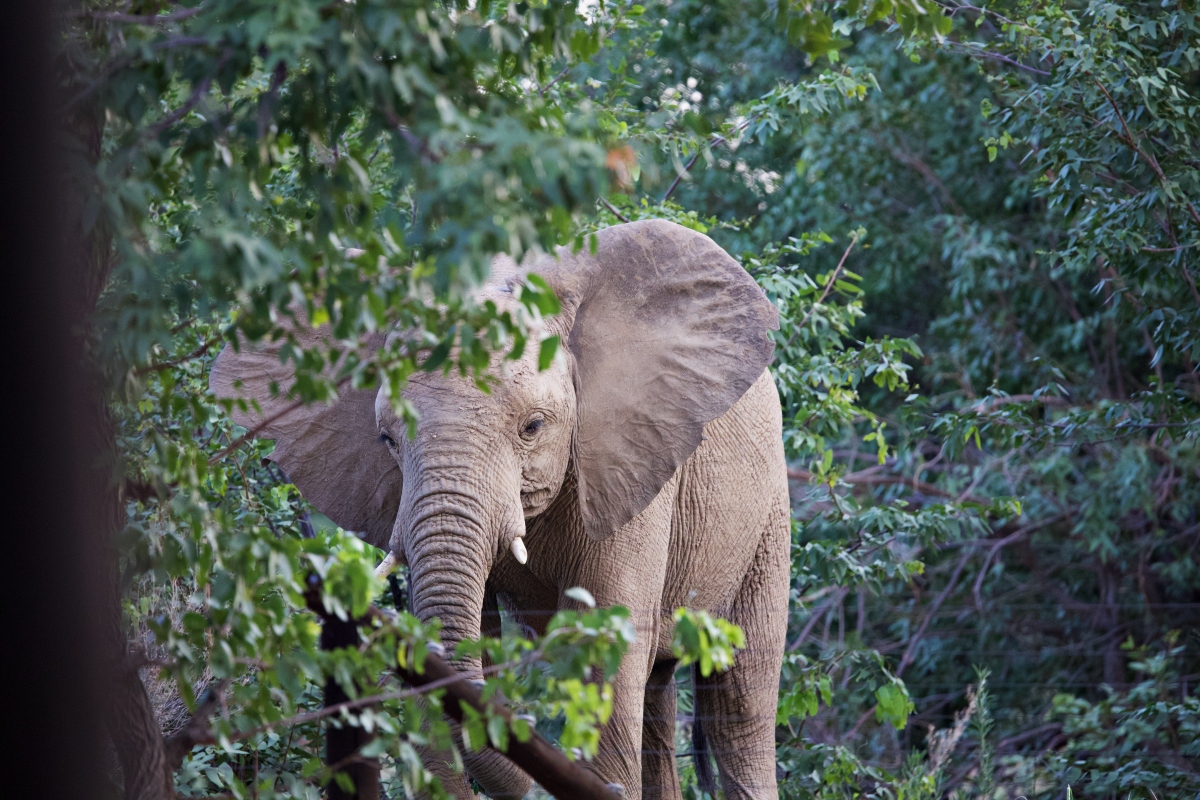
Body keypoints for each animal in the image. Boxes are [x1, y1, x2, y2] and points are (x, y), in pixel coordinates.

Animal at [211, 220, 792, 800]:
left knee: (741, 701)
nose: (524, 725)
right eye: (386, 439)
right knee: (659, 690)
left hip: (770, 513)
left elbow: (605, 641)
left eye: (533, 426)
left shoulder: (629, 463)